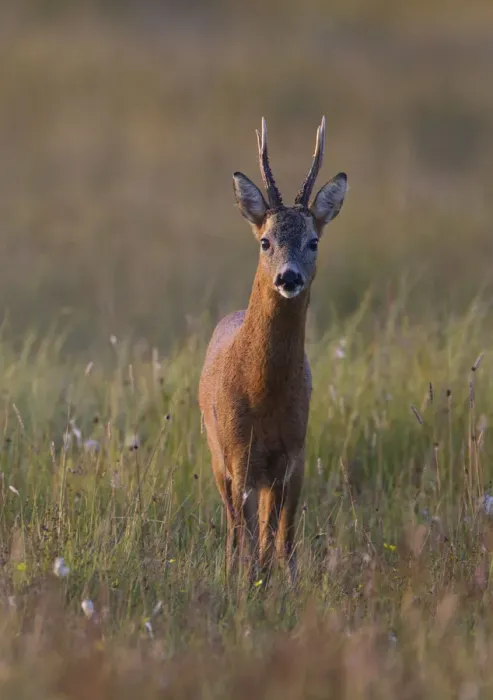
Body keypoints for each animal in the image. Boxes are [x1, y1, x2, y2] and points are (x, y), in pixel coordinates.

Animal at [198, 117, 347, 586]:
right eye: (265, 241)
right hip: (217, 454)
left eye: (314, 240)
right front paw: (246, 584)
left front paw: (287, 585)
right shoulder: (238, 455)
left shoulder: (294, 455)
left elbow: (282, 540)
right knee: (235, 529)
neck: (263, 394)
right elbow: (248, 539)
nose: (289, 277)